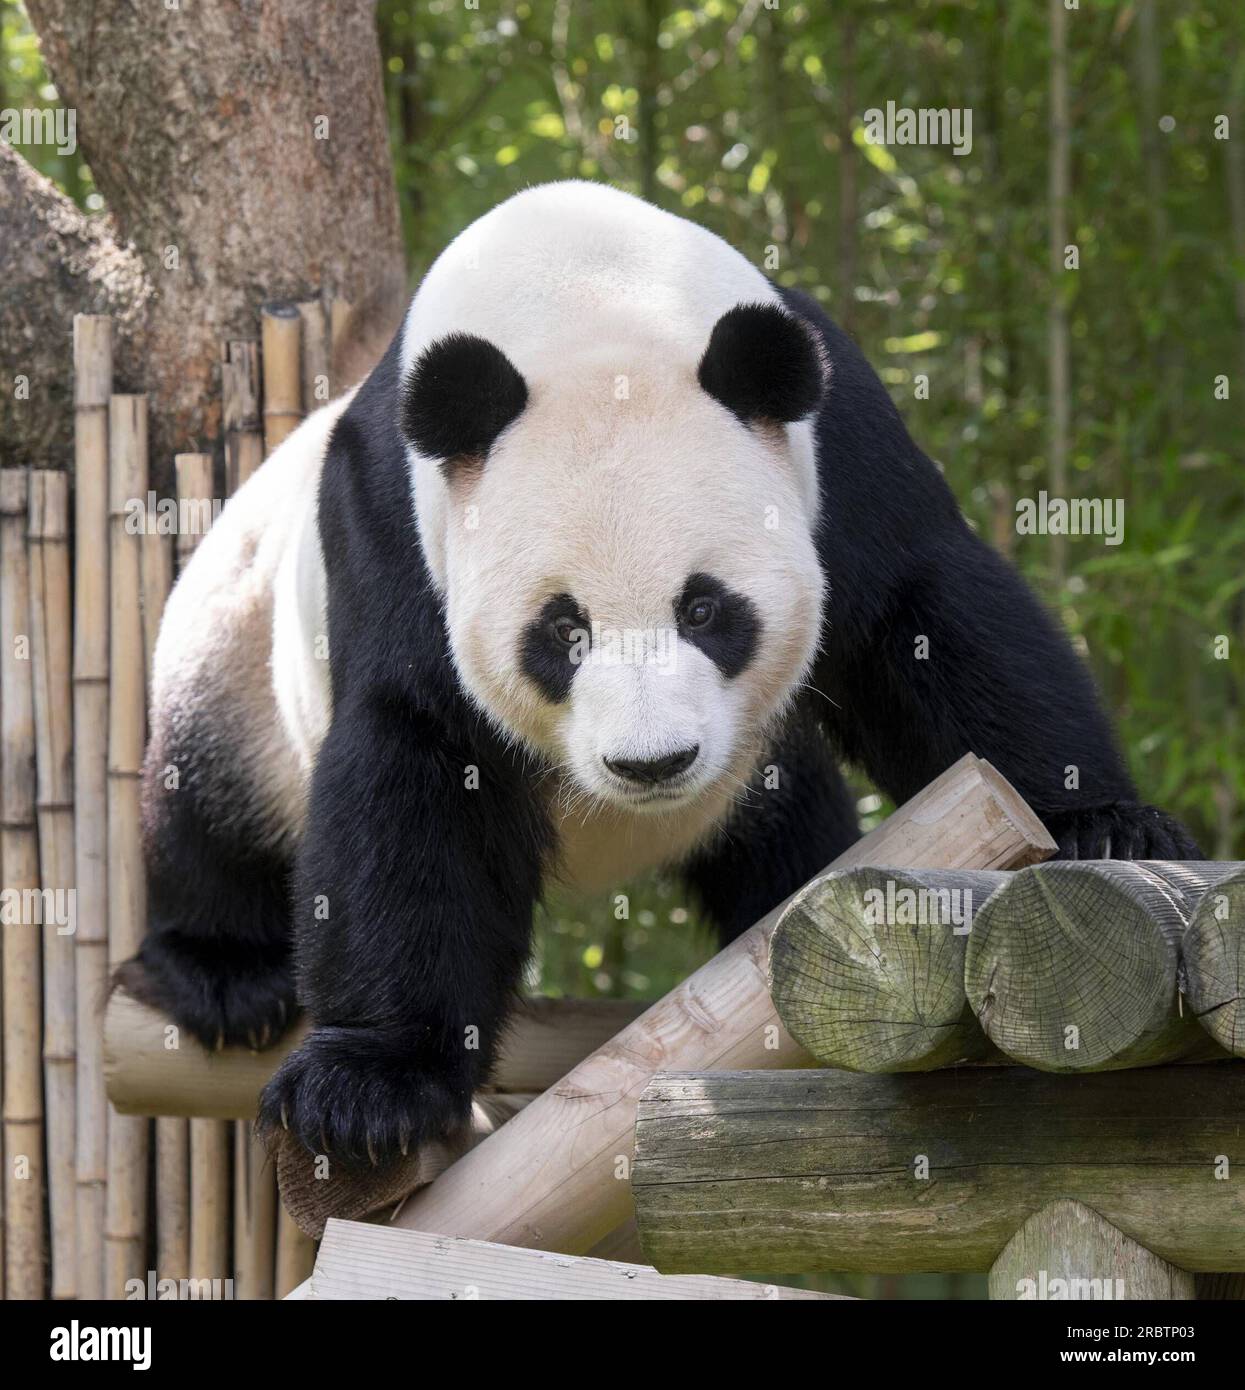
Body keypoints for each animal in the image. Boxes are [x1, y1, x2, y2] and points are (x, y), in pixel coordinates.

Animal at [121, 179, 1200, 1167]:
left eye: (705, 609)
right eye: (561, 631)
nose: (652, 765)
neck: (585, 294)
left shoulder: (832, 447)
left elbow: (933, 623)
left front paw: (1103, 821)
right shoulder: (394, 527)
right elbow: (413, 762)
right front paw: (365, 1089)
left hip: (750, 772)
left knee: (785, 818)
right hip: (236, 647)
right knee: (204, 796)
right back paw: (226, 974)